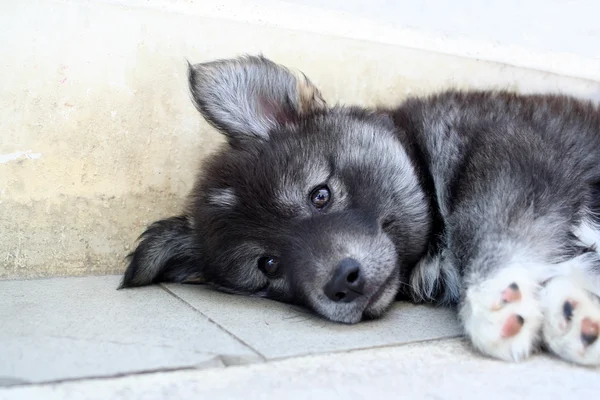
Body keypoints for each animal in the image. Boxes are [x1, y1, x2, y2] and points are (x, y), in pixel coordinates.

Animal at [122, 55, 600, 366]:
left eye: (319, 195)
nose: (342, 282)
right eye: (269, 265)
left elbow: (488, 234)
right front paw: (573, 312)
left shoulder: (512, 161)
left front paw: (495, 302)